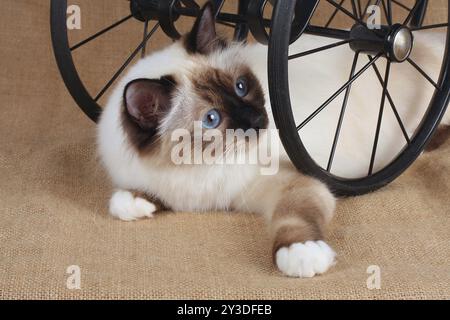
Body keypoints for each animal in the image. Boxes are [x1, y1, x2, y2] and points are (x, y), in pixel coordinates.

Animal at [96, 2, 448, 278]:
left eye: (240, 86)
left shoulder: (292, 184)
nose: (258, 121)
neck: (198, 169)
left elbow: (292, 219)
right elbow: (123, 200)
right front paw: (135, 202)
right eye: (212, 119)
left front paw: (302, 253)